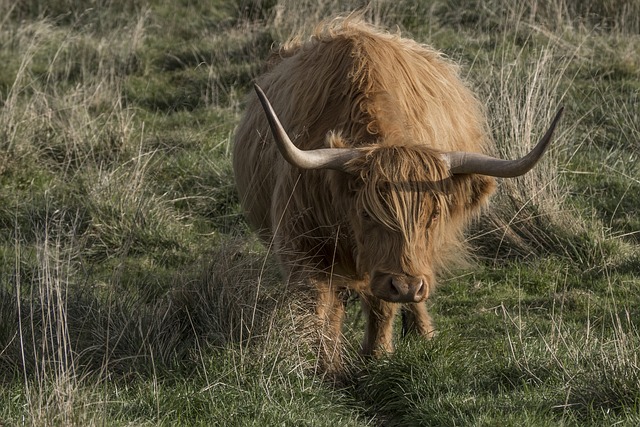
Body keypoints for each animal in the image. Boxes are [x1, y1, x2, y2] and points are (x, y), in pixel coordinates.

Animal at [231, 16, 560, 372]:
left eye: (433, 215)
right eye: (365, 214)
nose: (406, 286)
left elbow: (382, 303)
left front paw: (377, 355)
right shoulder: (302, 244)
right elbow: (317, 306)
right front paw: (326, 366)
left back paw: (423, 332)